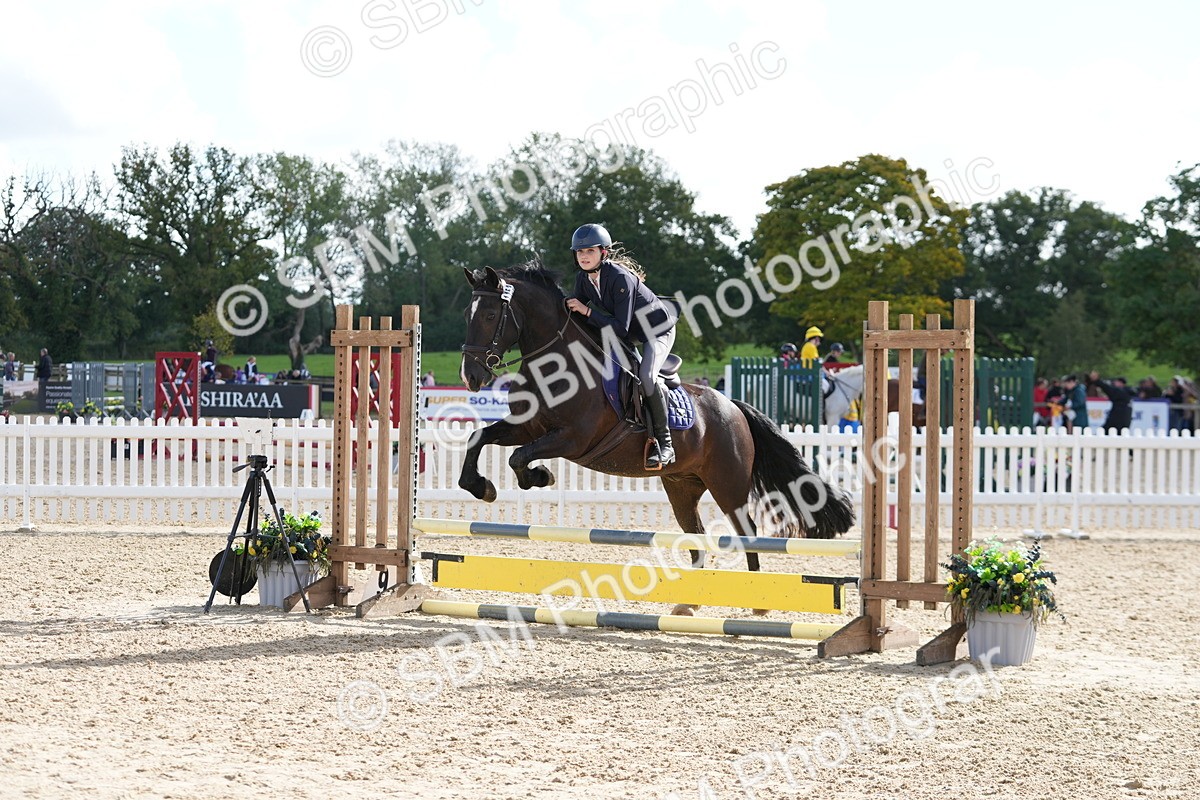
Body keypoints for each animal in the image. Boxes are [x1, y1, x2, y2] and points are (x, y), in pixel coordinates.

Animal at [457, 262, 856, 615]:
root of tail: (735, 407)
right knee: (696, 536)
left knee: (747, 530)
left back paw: (757, 603)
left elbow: (518, 458)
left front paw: (538, 476)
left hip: (729, 484)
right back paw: (690, 603)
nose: (471, 377)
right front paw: (481, 487)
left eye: (490, 315)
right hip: (682, 485)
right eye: (467, 314)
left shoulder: (573, 439)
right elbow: (480, 438)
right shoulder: (527, 427)